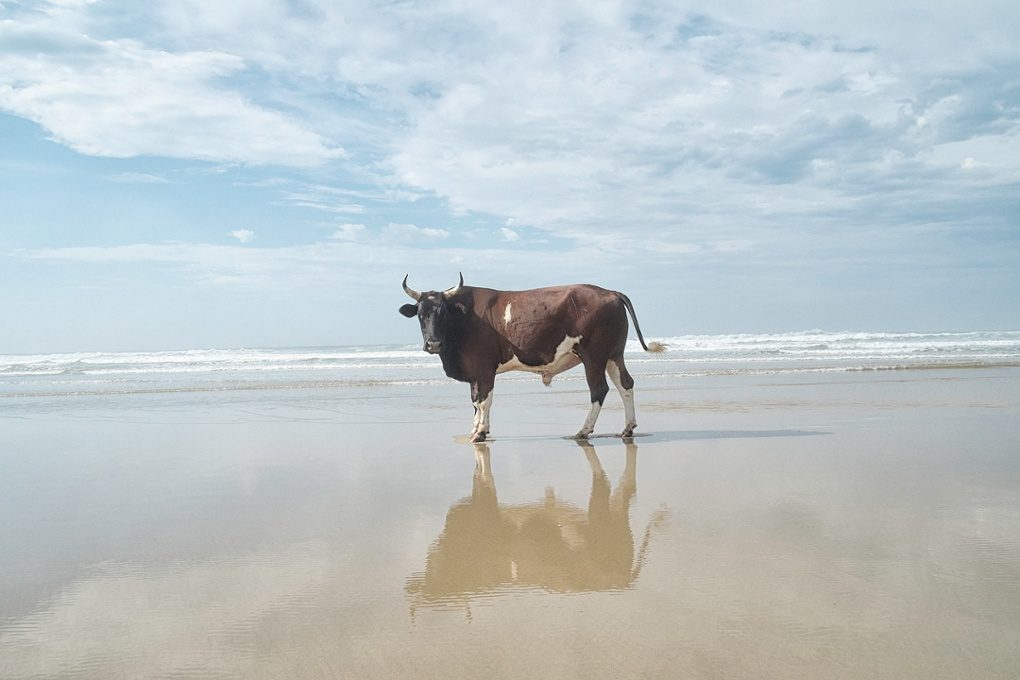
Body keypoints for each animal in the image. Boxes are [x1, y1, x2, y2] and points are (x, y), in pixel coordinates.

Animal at [399, 274, 664, 441]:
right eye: (421, 314)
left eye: (443, 313)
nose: (433, 343)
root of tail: (610, 292)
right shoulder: (474, 372)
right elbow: (475, 401)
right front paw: (474, 430)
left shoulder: (484, 369)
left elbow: (484, 401)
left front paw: (481, 433)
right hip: (613, 354)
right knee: (625, 385)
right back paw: (628, 429)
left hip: (594, 356)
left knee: (599, 390)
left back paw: (583, 431)